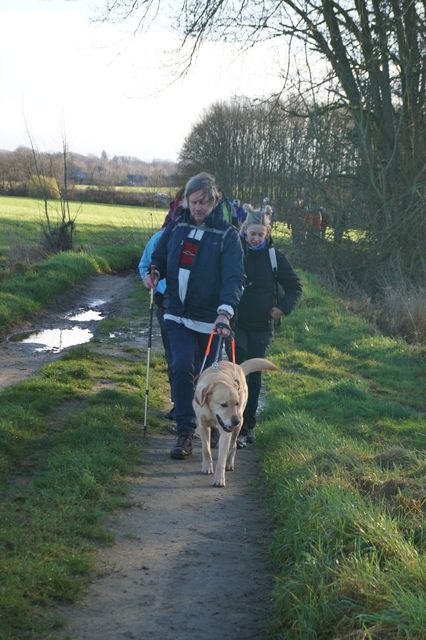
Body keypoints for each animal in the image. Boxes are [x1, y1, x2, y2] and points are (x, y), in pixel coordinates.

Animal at [194, 358, 280, 488]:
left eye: (236, 403)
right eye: (223, 404)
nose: (236, 421)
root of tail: (239, 367)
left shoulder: (226, 432)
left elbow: (221, 459)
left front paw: (219, 479)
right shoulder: (203, 426)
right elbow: (206, 449)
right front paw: (207, 466)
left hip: (237, 426)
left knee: (233, 446)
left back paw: (229, 463)